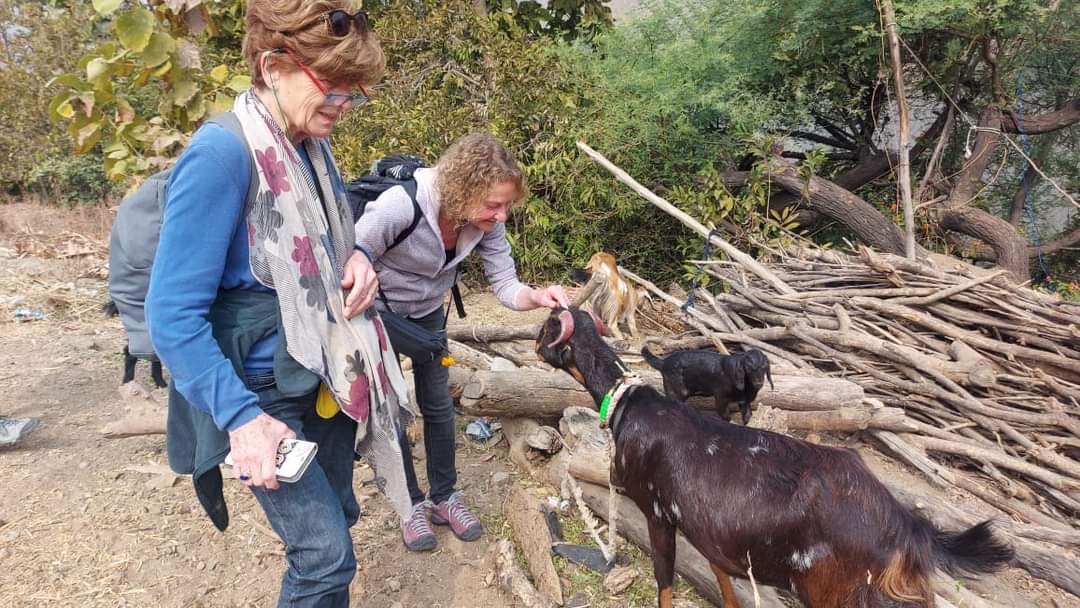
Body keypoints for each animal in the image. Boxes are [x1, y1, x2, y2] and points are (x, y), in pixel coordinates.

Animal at [535, 308, 1015, 608]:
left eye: (546, 334)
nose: (537, 348)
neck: (628, 405)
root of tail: (906, 527)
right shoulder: (709, 529)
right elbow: (722, 579)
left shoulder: (657, 511)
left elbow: (665, 583)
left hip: (834, 593)